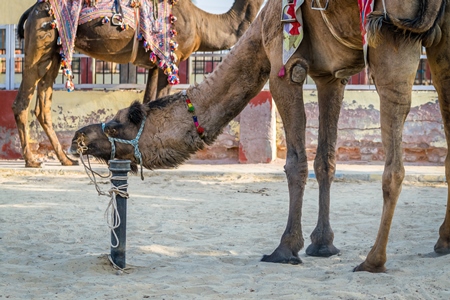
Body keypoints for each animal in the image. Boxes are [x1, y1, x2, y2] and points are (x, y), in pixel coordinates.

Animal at [11, 0, 264, 169]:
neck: (203, 25)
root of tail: (31, 11)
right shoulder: (169, 59)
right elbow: (155, 100)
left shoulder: (153, 64)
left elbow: (148, 101)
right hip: (40, 40)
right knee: (22, 101)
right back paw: (32, 160)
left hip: (55, 52)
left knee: (43, 105)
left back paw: (65, 159)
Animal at [69, 0, 450, 274]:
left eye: (119, 123)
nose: (79, 137)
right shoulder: (331, 75)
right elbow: (325, 160)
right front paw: (322, 245)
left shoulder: (283, 61)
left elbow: (296, 162)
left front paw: (286, 248)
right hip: (441, 40)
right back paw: (442, 243)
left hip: (390, 32)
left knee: (395, 158)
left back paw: (374, 260)